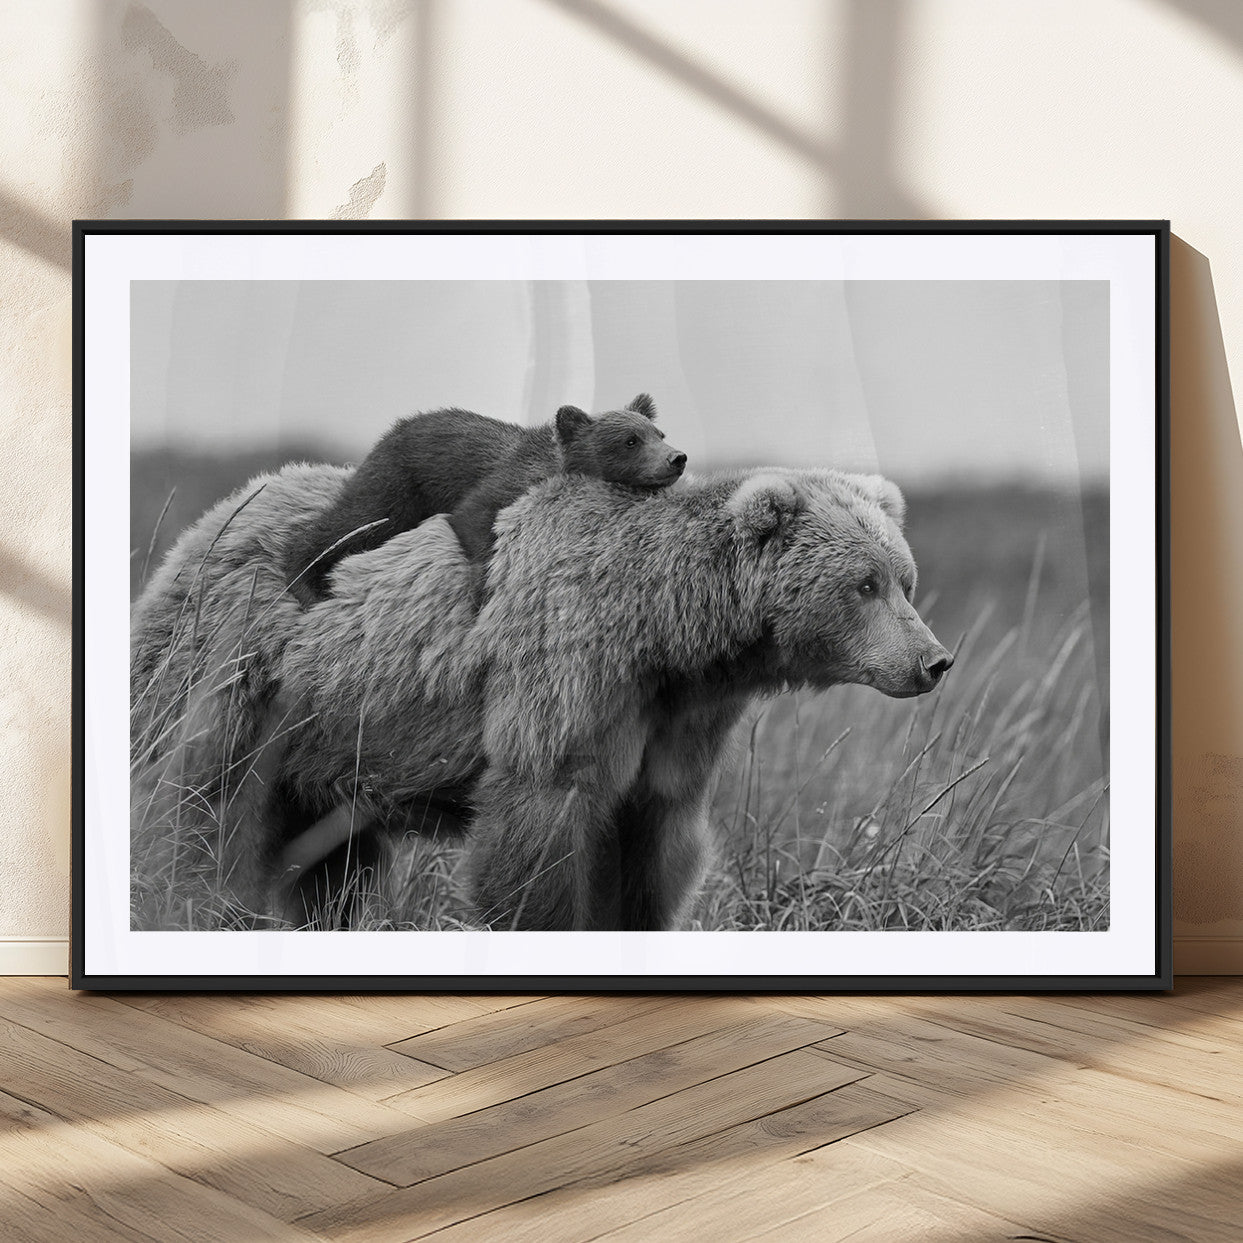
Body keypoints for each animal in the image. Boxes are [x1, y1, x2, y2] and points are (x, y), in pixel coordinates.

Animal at [129, 459, 952, 932]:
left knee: (332, 862)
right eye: (865, 584)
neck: (669, 632)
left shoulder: (677, 719)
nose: (933, 659)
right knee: (200, 808)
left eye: (904, 579)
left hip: (332, 736)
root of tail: (216, 515)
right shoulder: (569, 672)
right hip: (241, 675)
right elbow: (542, 821)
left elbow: (655, 843)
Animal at [283, 394, 686, 606]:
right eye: (630, 440)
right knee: (355, 521)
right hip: (398, 482)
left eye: (659, 433)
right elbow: (474, 515)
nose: (676, 458)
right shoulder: (505, 481)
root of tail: (394, 428)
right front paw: (483, 587)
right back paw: (305, 581)